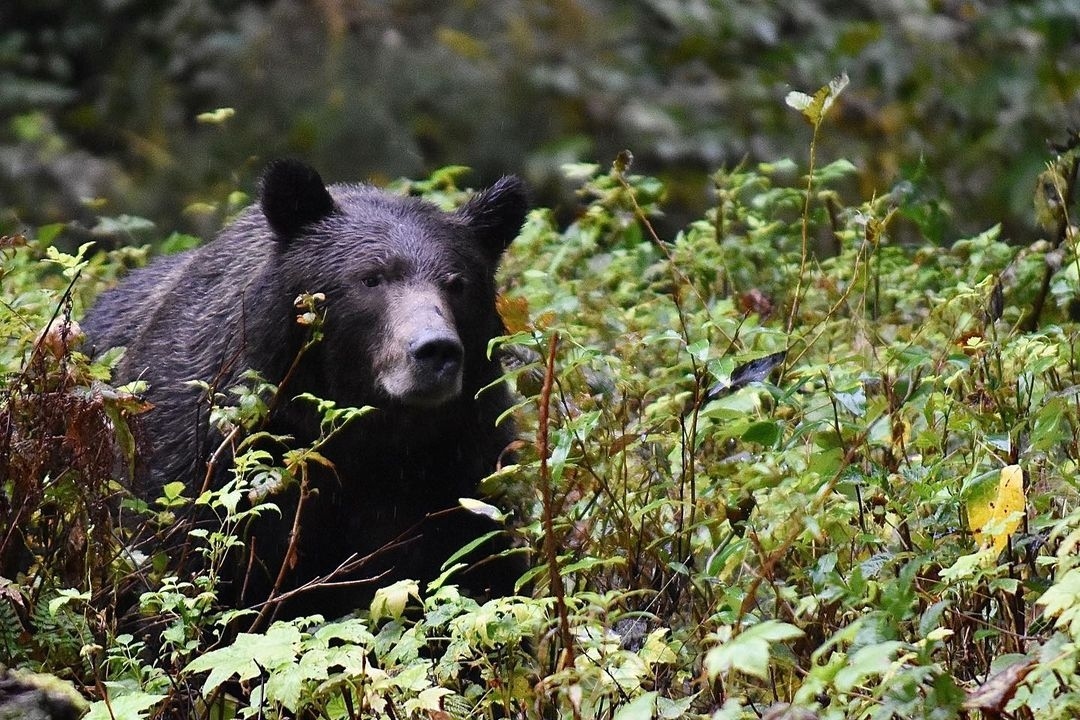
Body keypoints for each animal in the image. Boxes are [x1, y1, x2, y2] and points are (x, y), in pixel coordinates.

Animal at [82, 159, 529, 621]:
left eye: (457, 283)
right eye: (371, 278)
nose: (435, 349)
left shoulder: (459, 464)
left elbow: (479, 566)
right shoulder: (199, 454)